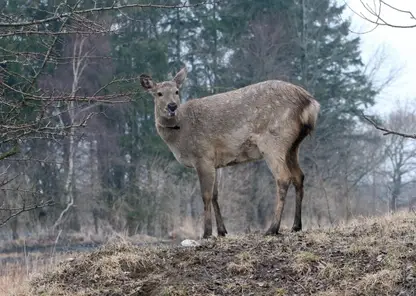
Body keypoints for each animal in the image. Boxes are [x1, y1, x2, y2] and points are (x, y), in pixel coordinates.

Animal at [141, 66, 320, 238]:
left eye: (177, 91)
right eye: (159, 93)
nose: (172, 106)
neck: (181, 134)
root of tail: (309, 103)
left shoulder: (202, 156)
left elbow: (205, 195)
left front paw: (206, 233)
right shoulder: (216, 162)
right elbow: (215, 195)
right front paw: (222, 231)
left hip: (273, 141)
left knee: (283, 178)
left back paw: (272, 228)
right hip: (293, 146)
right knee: (299, 176)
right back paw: (296, 226)